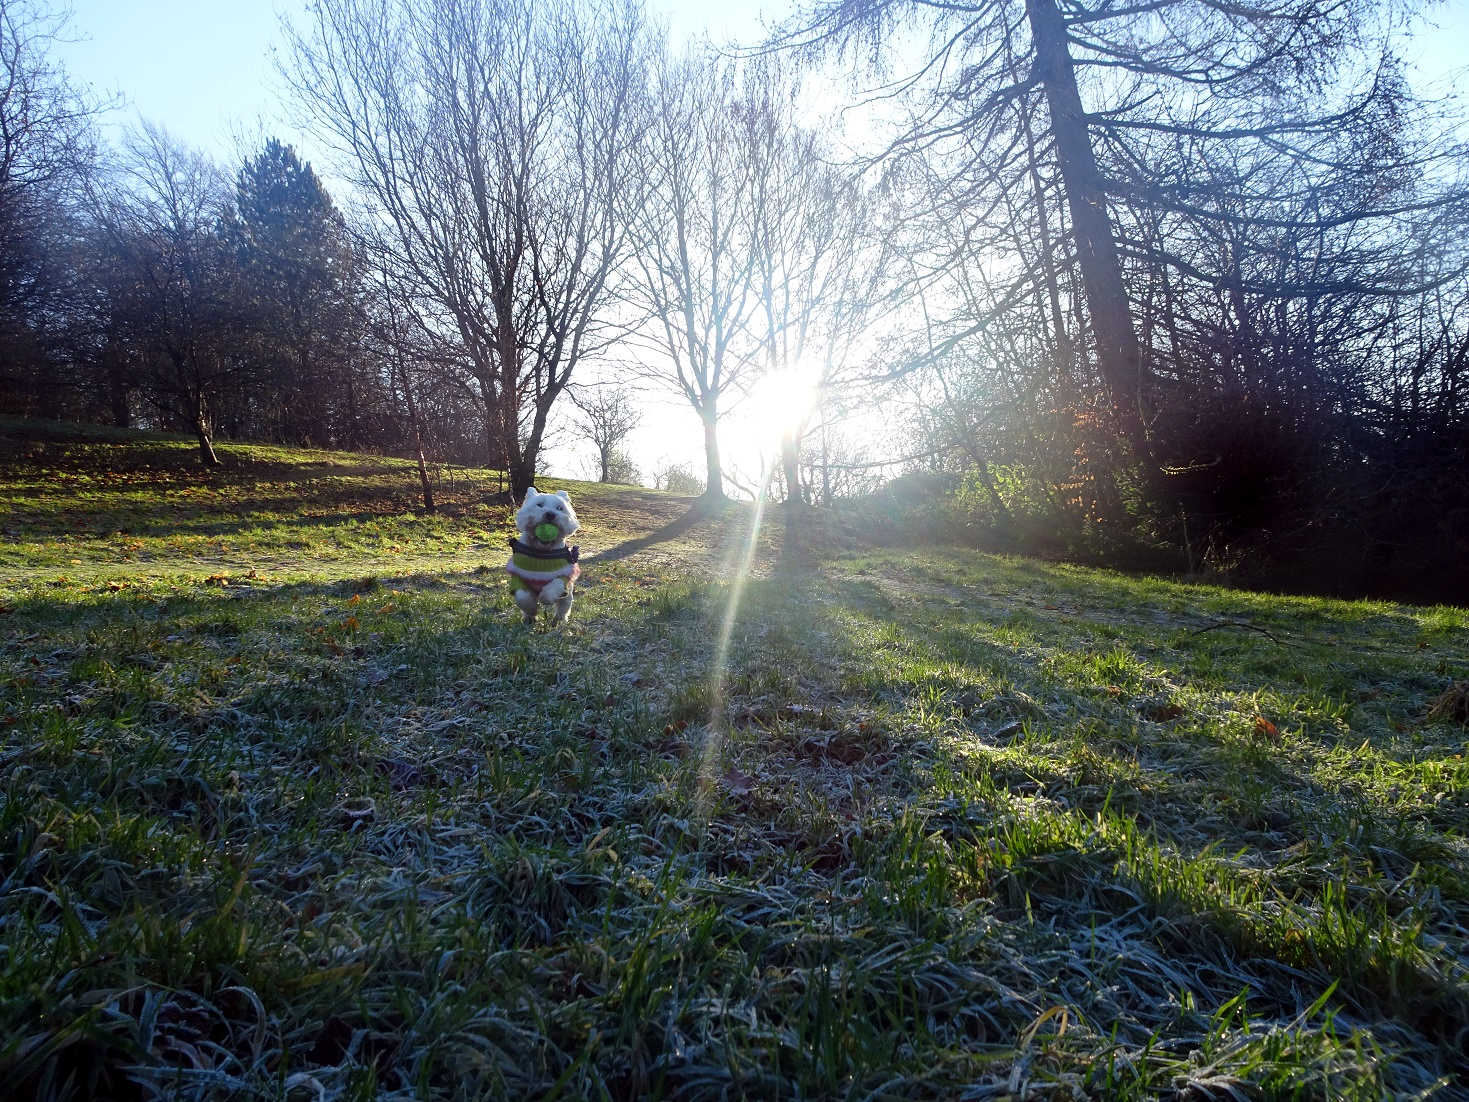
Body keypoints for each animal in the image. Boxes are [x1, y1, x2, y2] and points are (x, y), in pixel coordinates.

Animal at [508, 487, 581, 625]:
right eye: (539, 505)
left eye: (560, 508)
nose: (550, 514)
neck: (543, 552)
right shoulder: (519, 577)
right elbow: (523, 597)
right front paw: (531, 611)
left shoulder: (563, 576)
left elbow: (552, 588)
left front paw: (545, 598)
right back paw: (528, 618)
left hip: (568, 595)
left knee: (563, 607)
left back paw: (559, 621)